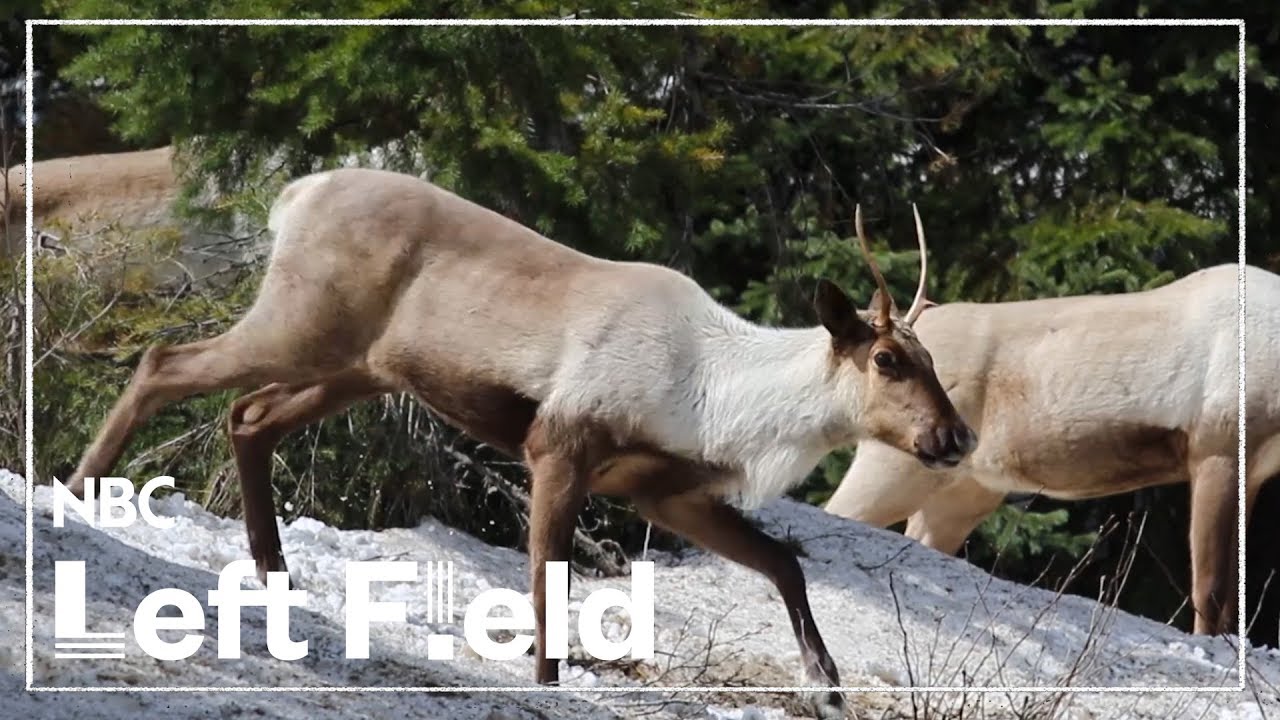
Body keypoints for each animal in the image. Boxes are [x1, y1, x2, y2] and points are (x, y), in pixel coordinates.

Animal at [62, 167, 976, 717]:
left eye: (936, 360)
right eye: (889, 359)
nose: (956, 435)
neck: (715, 399)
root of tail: (293, 195)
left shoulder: (663, 490)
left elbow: (783, 562)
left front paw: (828, 689)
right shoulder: (558, 444)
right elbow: (549, 577)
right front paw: (548, 680)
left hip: (361, 366)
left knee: (248, 417)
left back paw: (274, 573)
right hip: (303, 322)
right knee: (164, 362)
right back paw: (77, 497)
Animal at [823, 262, 1280, 637]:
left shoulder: (1254, 471)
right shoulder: (1216, 447)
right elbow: (1211, 592)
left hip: (964, 489)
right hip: (894, 464)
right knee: (837, 511)